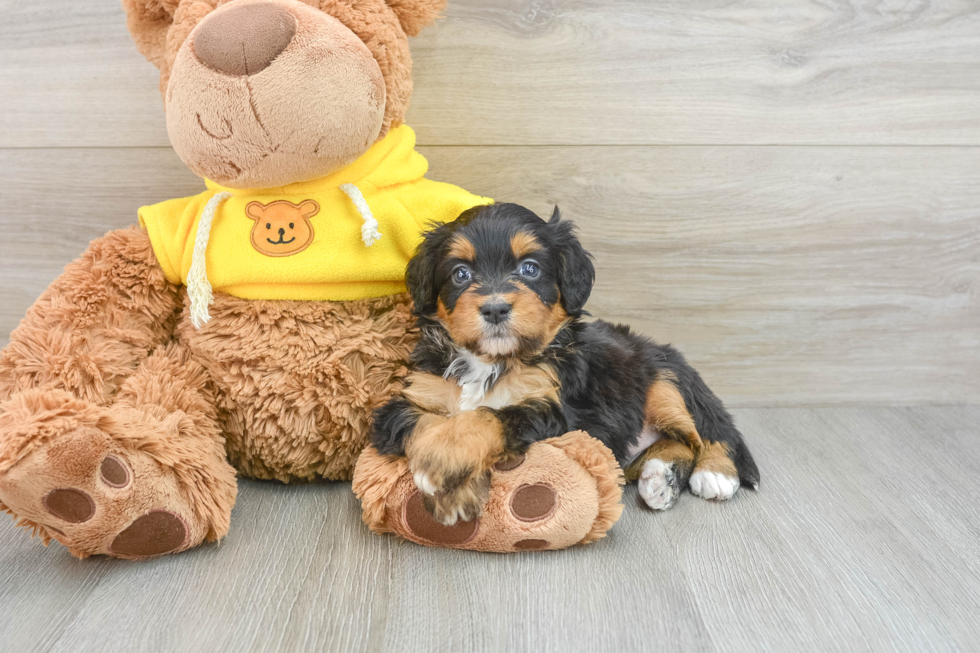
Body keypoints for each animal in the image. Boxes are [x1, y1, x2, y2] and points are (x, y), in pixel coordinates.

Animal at [372, 204, 760, 524]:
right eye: (460, 274)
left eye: (529, 268)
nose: (495, 309)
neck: (490, 361)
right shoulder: (411, 398)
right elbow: (423, 421)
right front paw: (450, 484)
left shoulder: (559, 412)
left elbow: (489, 416)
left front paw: (447, 465)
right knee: (679, 441)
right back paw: (659, 478)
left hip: (667, 378)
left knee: (710, 431)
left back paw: (715, 474)